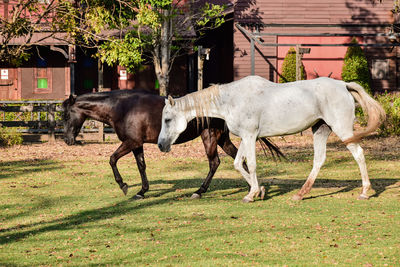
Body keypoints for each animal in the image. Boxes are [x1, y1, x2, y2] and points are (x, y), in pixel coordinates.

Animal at [61, 90, 282, 199]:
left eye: (66, 114)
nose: (68, 140)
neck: (122, 108)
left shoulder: (131, 142)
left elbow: (112, 159)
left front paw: (123, 186)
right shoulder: (137, 144)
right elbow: (141, 166)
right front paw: (142, 191)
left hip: (210, 137)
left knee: (214, 163)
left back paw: (199, 191)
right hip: (222, 139)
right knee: (237, 159)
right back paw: (253, 189)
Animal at [156, 77, 384, 203]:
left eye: (167, 119)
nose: (161, 145)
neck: (232, 100)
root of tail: (343, 85)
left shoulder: (249, 136)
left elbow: (251, 165)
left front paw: (252, 194)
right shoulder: (246, 137)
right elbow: (238, 164)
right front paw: (260, 191)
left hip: (343, 130)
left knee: (359, 154)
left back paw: (365, 192)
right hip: (320, 130)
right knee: (319, 161)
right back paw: (301, 194)